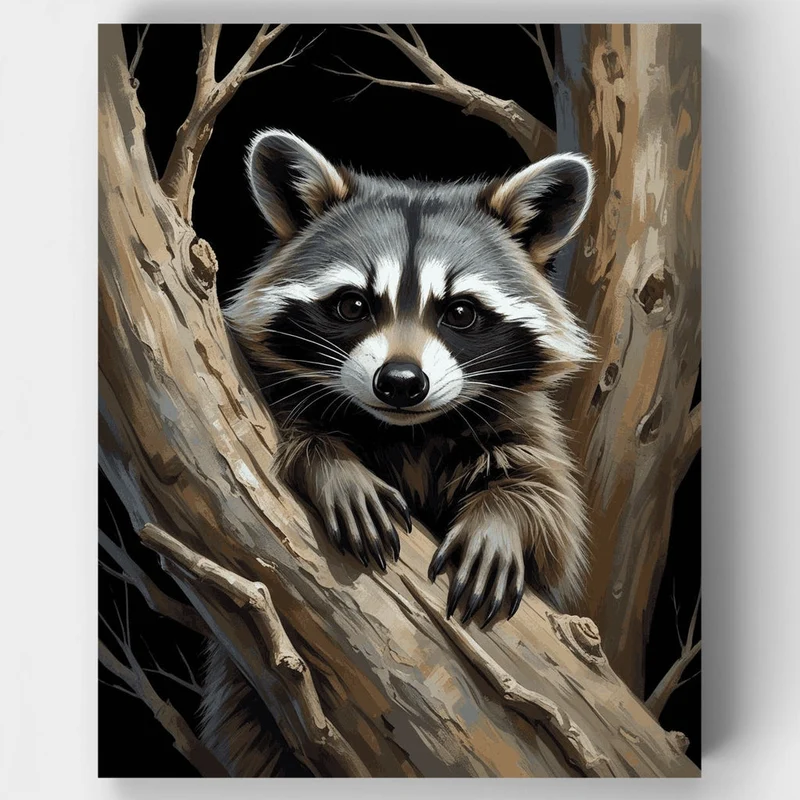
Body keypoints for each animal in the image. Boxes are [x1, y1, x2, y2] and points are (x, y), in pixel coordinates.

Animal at [225, 129, 594, 623]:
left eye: (460, 312)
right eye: (352, 305)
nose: (401, 381)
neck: (409, 431)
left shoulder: (523, 416)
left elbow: (552, 509)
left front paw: (500, 518)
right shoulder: (268, 383)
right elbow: (286, 425)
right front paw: (336, 466)